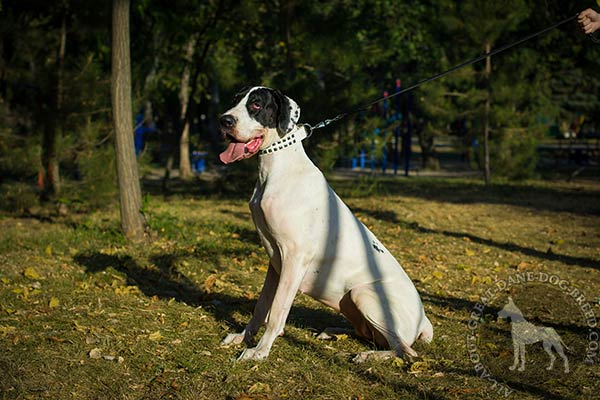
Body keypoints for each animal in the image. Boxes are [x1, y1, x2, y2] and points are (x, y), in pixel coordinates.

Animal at [218, 86, 434, 360]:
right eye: (235, 100)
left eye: (256, 105)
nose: (224, 120)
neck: (277, 169)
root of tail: (424, 320)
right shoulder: (275, 262)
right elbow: (261, 307)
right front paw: (242, 338)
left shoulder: (294, 258)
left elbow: (276, 311)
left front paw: (259, 351)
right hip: (351, 303)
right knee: (372, 336)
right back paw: (333, 332)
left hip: (363, 294)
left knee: (404, 350)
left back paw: (367, 356)